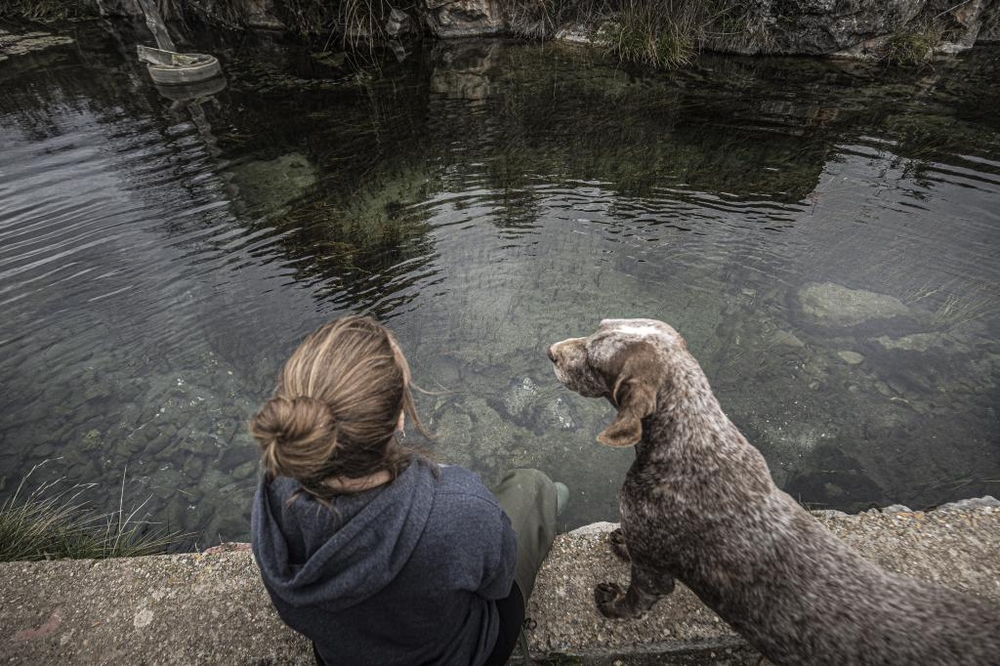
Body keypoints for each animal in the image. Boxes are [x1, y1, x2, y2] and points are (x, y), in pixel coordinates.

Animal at [548, 318, 1000, 664]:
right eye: (598, 326)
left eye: (595, 359)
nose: (551, 351)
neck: (694, 443)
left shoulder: (652, 570)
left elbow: (632, 599)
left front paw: (611, 603)